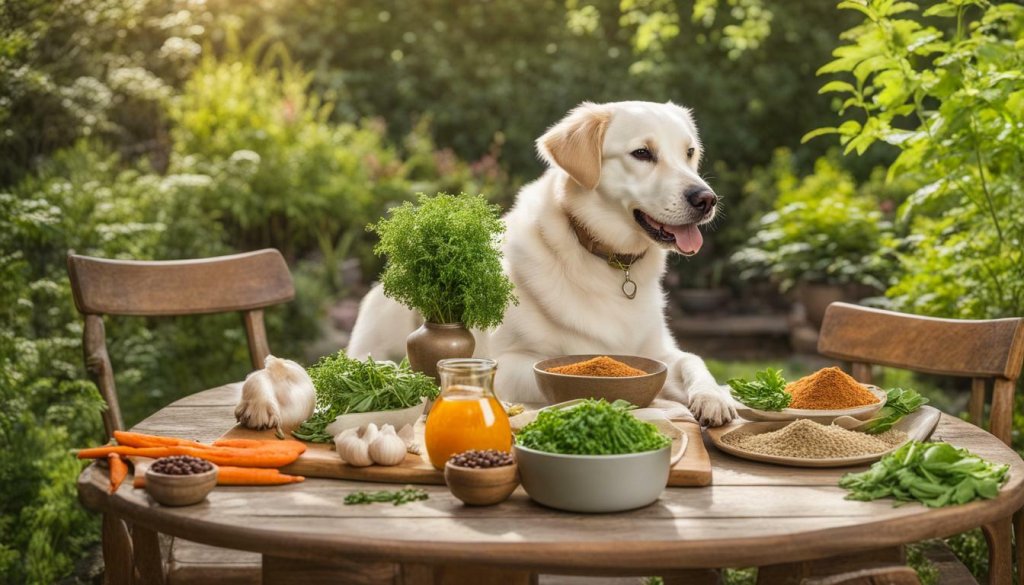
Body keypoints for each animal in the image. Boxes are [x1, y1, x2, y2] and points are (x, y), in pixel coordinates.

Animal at [348, 98, 733, 424]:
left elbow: (693, 360)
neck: (610, 261)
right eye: (642, 153)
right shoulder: (507, 361)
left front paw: (713, 397)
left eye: (689, 153)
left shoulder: (660, 350)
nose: (706, 199)